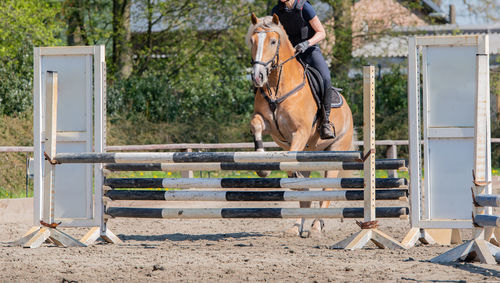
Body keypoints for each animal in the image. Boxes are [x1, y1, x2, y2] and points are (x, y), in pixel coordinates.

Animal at [246, 13, 356, 237]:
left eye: (273, 41)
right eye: (252, 41)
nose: (257, 76)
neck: (277, 86)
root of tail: (349, 112)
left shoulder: (300, 132)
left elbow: (289, 161)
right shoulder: (268, 124)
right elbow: (256, 125)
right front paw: (262, 167)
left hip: (334, 151)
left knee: (326, 188)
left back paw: (316, 226)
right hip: (308, 154)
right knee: (303, 191)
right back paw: (297, 226)